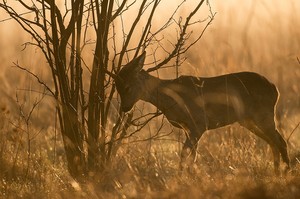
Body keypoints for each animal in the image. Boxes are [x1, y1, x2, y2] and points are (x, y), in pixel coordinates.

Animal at [114, 52, 288, 173]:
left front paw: (181, 177)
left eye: (127, 87)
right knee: (273, 142)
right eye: (117, 88)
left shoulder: (199, 122)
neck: (171, 97)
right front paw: (189, 176)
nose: (124, 108)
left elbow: (185, 154)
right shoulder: (188, 128)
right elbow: (193, 155)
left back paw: (286, 172)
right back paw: (277, 172)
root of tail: (275, 89)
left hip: (263, 115)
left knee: (280, 141)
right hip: (248, 120)